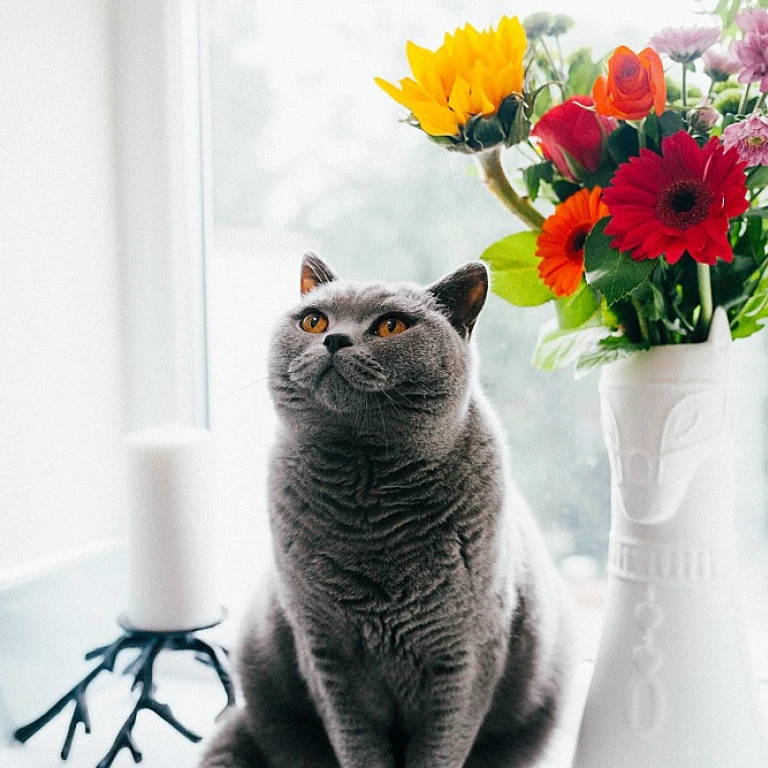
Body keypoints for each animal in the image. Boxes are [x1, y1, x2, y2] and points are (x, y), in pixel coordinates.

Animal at [201, 255, 572, 764]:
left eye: (391, 326)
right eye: (314, 321)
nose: (335, 339)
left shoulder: (467, 659)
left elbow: (440, 750)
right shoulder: (326, 656)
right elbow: (358, 747)